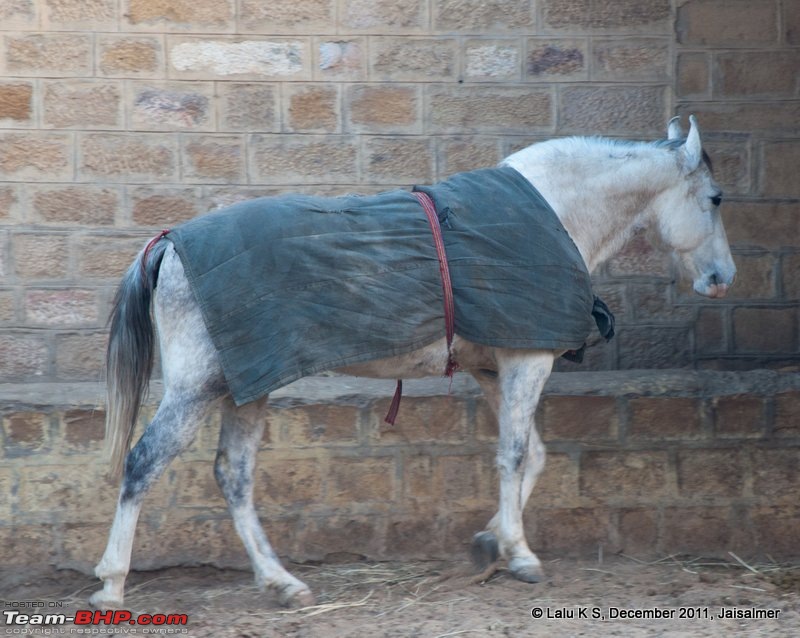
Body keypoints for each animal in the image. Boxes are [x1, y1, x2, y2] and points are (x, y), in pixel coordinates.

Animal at [89, 117, 736, 612]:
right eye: (714, 199)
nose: (721, 278)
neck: (553, 211)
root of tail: (169, 244)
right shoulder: (526, 360)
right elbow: (514, 454)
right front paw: (521, 556)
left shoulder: (493, 367)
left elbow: (531, 455)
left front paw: (490, 542)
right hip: (196, 390)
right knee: (144, 463)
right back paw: (112, 584)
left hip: (246, 387)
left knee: (234, 476)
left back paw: (283, 584)